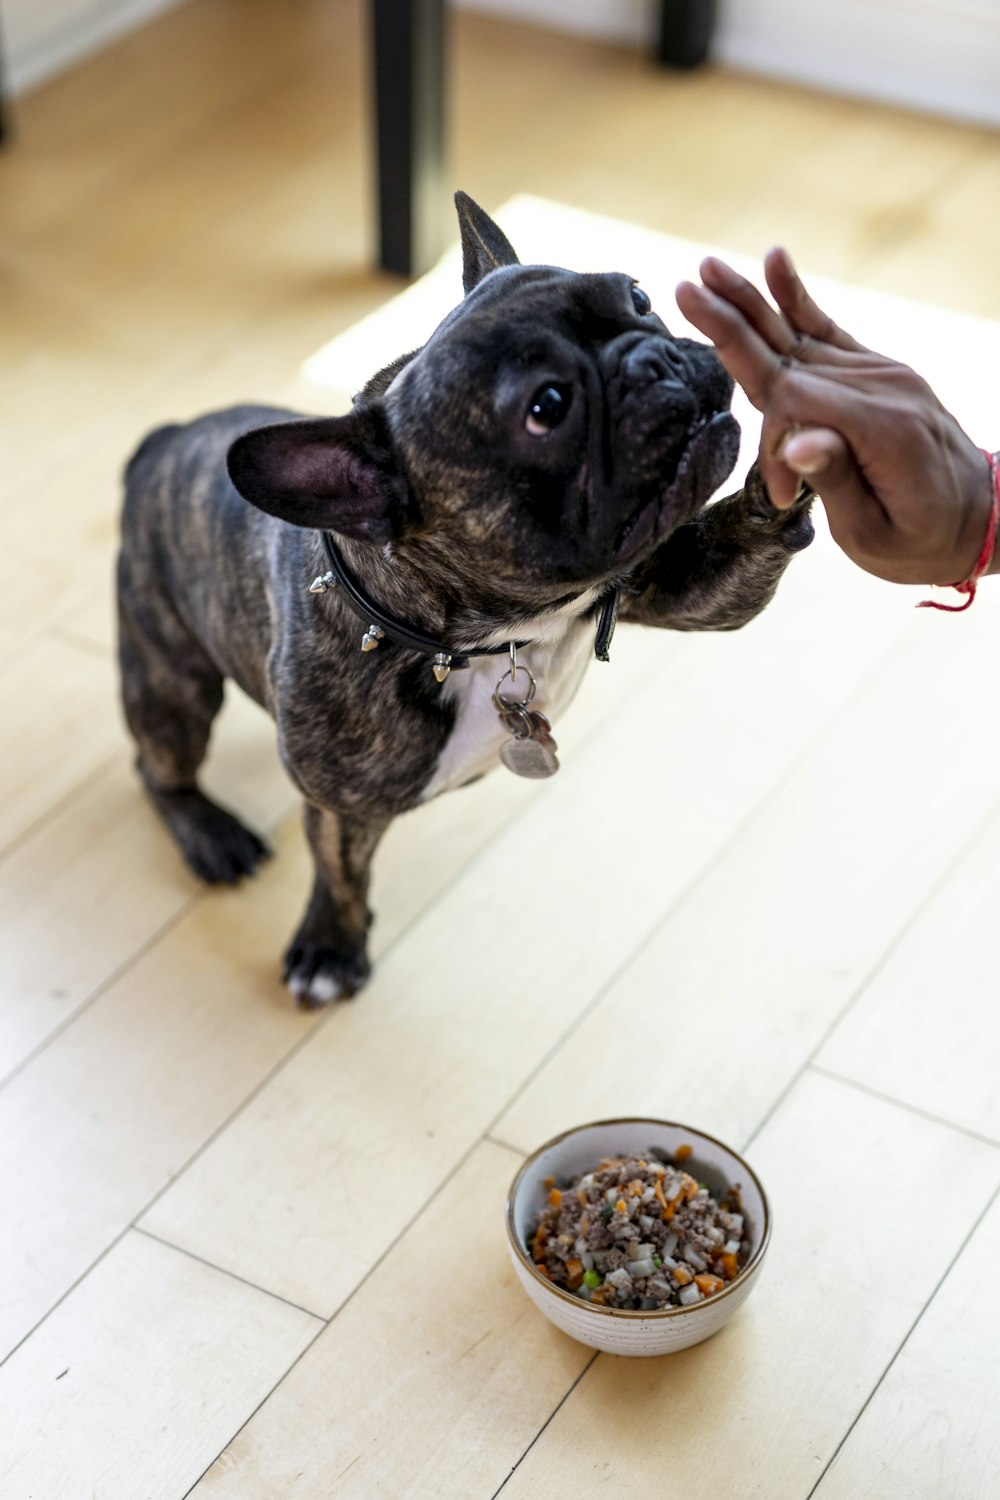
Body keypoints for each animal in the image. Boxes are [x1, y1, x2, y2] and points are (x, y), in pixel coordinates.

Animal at [119, 193, 815, 1002]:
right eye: (547, 407)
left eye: (639, 298)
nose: (657, 359)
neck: (491, 635)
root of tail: (164, 443)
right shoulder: (341, 801)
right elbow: (340, 867)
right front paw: (331, 945)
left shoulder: (667, 580)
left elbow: (733, 564)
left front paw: (797, 446)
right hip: (169, 674)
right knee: (160, 763)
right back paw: (211, 834)